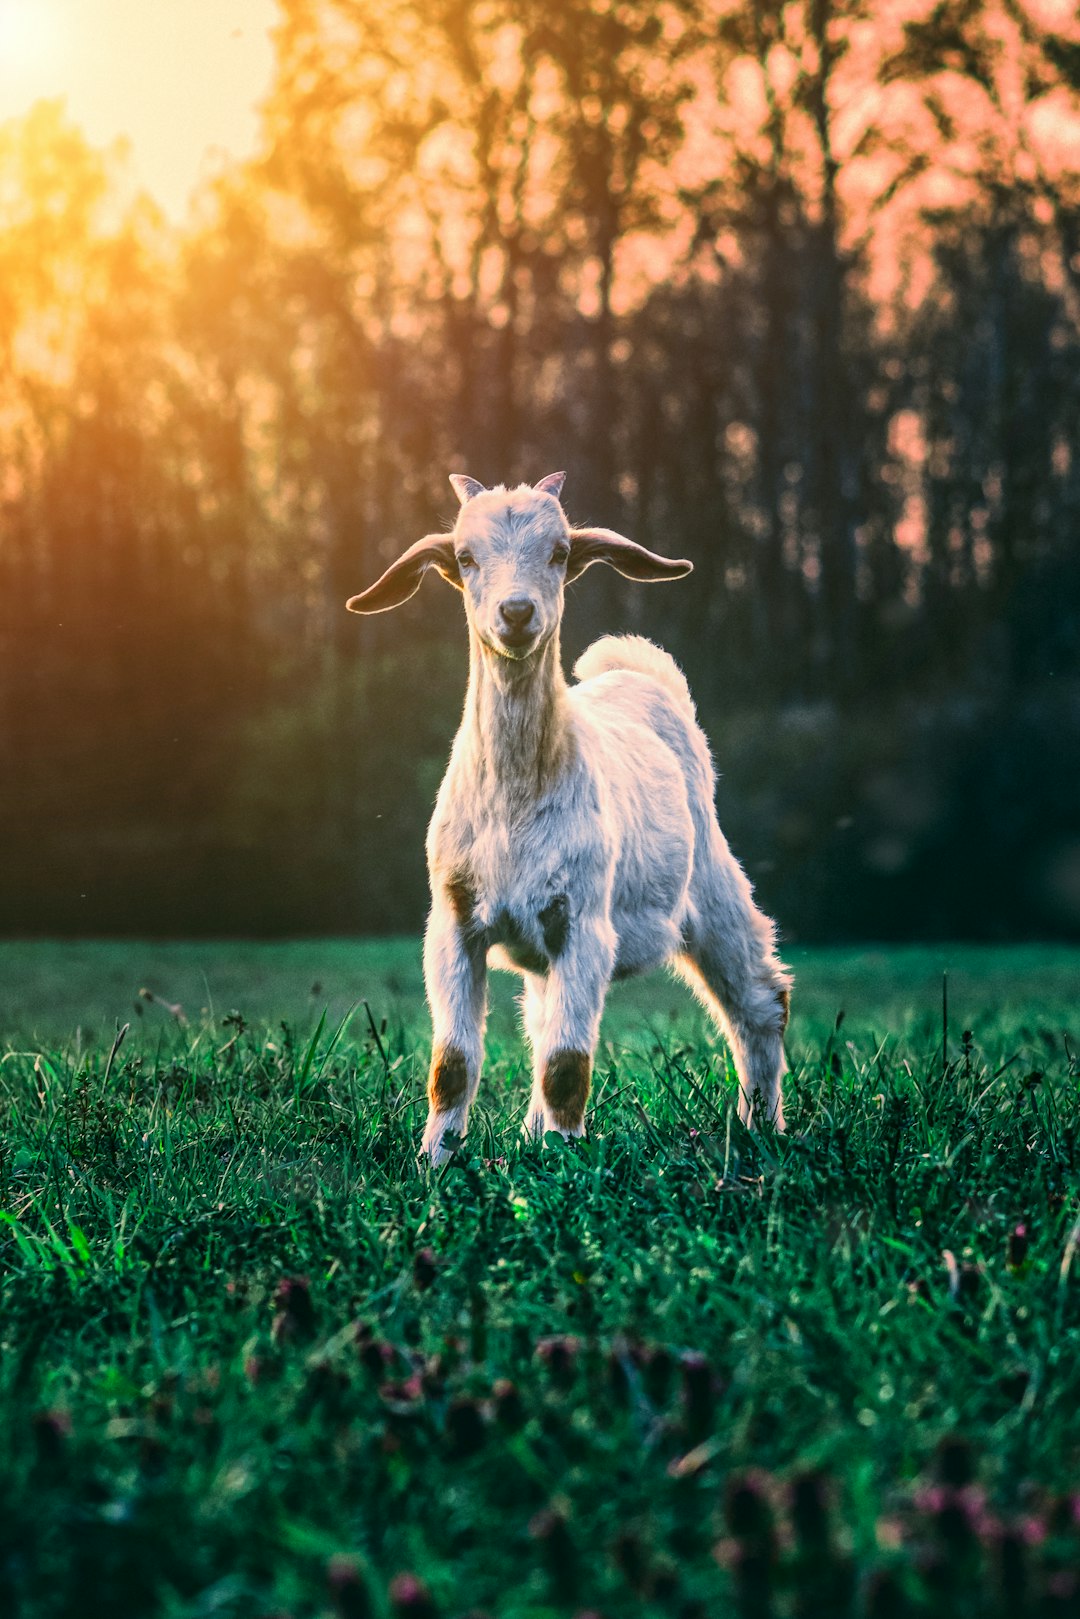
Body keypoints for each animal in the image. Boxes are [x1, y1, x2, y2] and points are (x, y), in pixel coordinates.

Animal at [348, 472, 793, 1165]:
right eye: (465, 557)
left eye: (559, 553)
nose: (517, 613)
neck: (514, 800)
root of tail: (641, 679)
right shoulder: (453, 920)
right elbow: (454, 1062)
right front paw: (437, 1162)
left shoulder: (585, 923)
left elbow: (566, 1064)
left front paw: (564, 1167)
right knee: (541, 1018)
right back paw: (534, 1137)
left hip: (713, 887)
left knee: (760, 1000)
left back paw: (760, 1129)